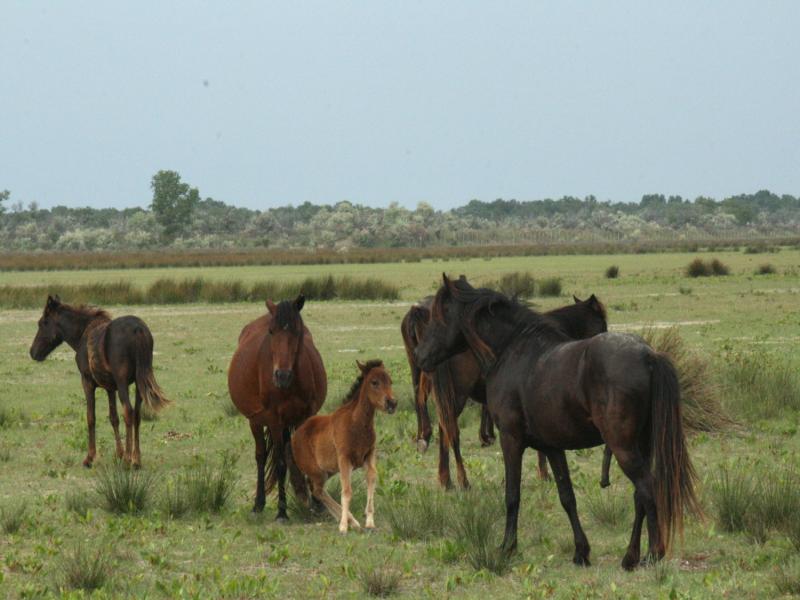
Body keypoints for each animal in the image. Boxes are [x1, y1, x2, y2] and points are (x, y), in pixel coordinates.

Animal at [29, 296, 169, 468]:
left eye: (43, 322)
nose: (33, 352)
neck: (82, 334)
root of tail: (138, 329)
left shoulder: (87, 381)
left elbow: (91, 417)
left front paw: (90, 457)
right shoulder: (110, 388)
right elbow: (113, 418)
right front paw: (118, 454)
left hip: (123, 384)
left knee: (128, 412)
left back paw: (128, 460)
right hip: (139, 383)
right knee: (137, 414)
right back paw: (136, 460)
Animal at [227, 296, 326, 520]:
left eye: (297, 331)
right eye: (271, 331)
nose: (282, 376)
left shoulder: (306, 416)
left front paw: (317, 503)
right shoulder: (274, 420)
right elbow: (280, 463)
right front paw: (282, 511)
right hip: (256, 421)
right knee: (261, 456)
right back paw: (258, 504)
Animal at [290, 360, 396, 536]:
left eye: (390, 381)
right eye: (374, 382)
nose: (392, 403)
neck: (357, 424)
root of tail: (294, 436)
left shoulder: (369, 456)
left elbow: (371, 480)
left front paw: (369, 522)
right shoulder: (344, 459)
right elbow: (346, 491)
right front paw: (343, 526)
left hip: (329, 471)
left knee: (318, 491)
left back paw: (351, 521)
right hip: (318, 472)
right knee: (318, 491)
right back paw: (349, 521)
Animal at [404, 288, 608, 490]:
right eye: (602, 324)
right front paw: (543, 473)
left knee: (442, 425)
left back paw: (446, 478)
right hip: (457, 395)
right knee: (450, 430)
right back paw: (461, 480)